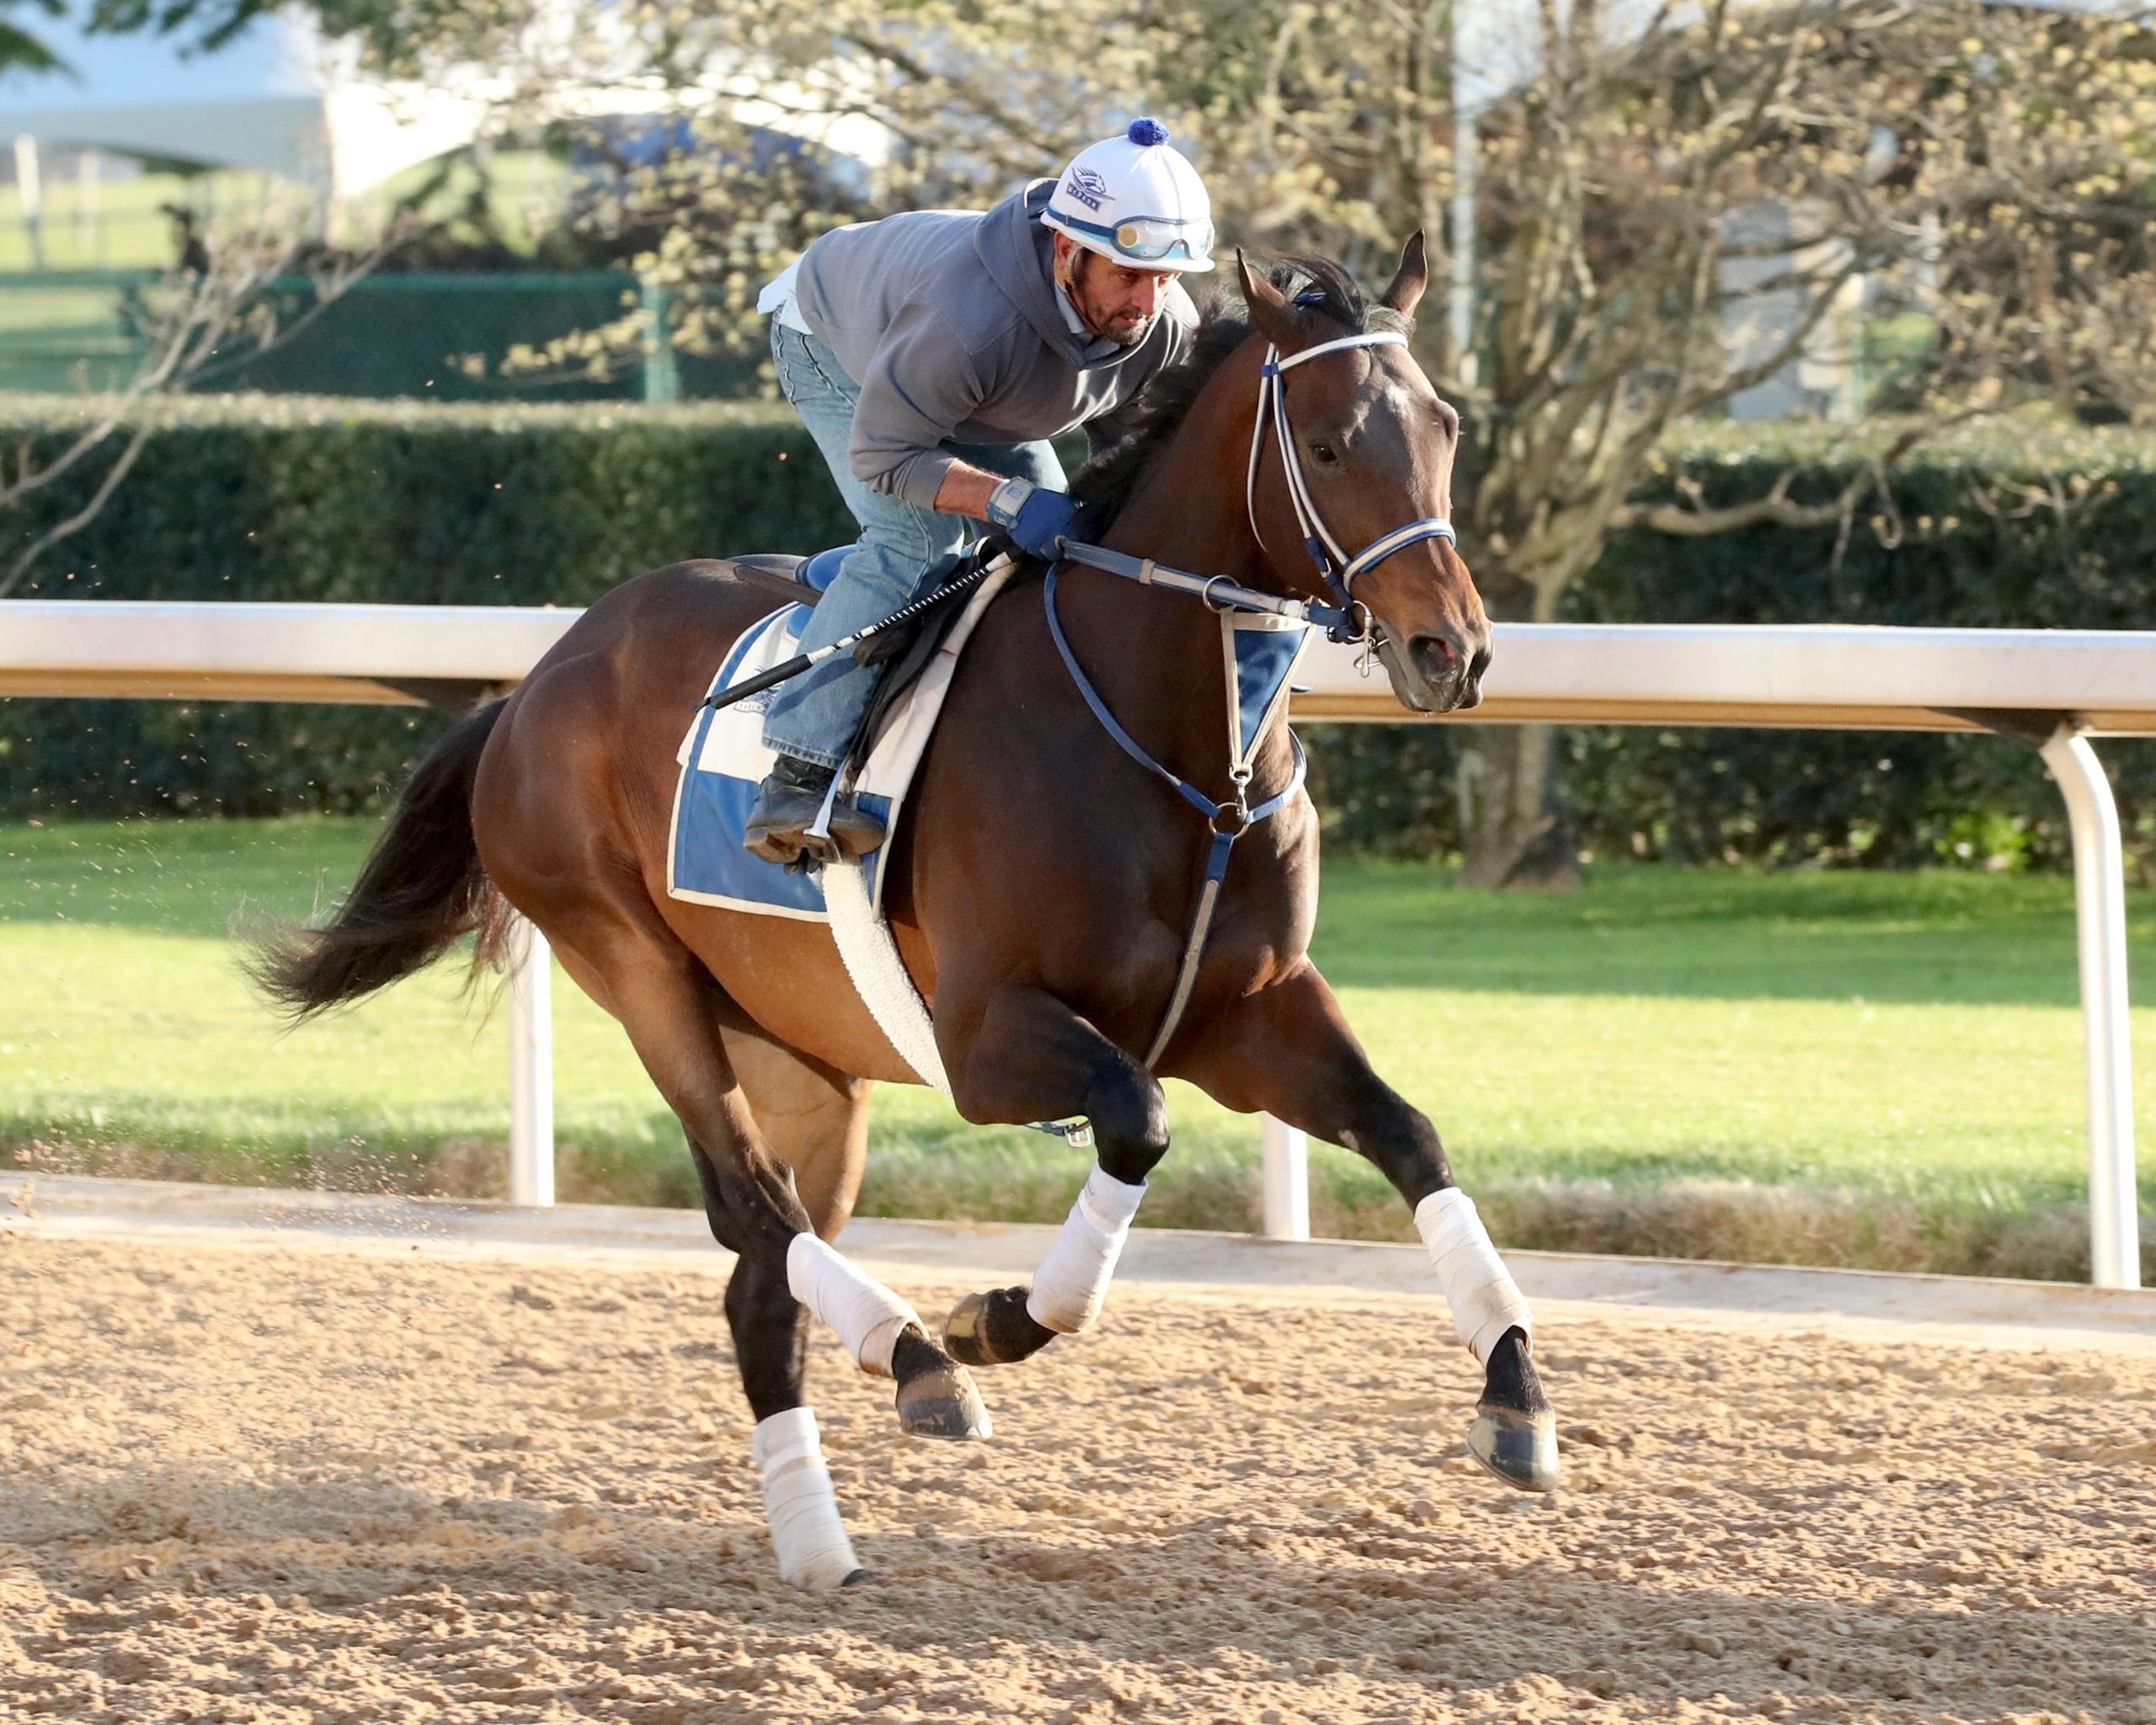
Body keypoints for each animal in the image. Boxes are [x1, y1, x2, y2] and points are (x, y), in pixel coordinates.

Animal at [250, 237, 1558, 1590]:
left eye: (1445, 426)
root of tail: (533, 682)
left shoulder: (1247, 1015)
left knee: (761, 1273)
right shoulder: (988, 1039)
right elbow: (1136, 1125)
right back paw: (913, 1363)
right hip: (628, 960)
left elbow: (1410, 1136)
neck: (1179, 753)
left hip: (806, 1059)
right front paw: (996, 1319)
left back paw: (830, 1511)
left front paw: (1514, 1392)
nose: (1451, 649)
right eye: (1332, 442)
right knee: (753, 1211)